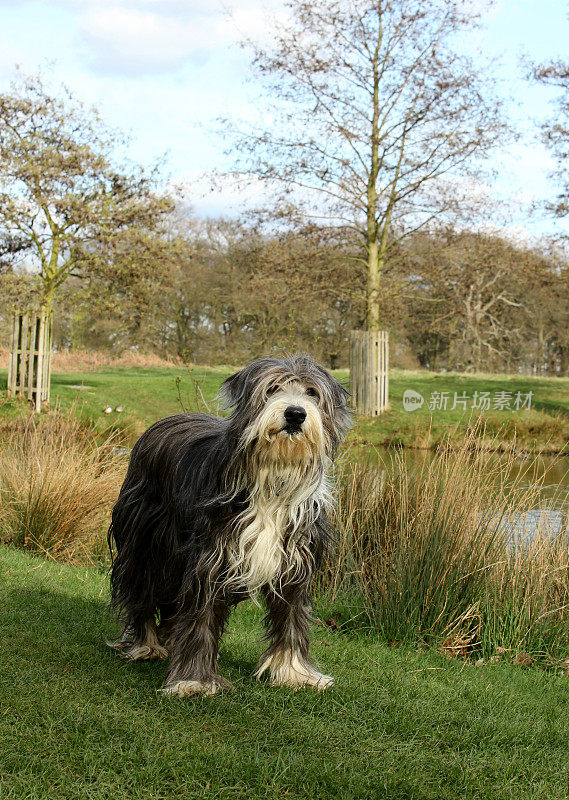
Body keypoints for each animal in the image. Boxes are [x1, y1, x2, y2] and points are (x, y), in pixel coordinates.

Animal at [106, 354, 350, 692]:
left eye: (312, 392)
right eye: (272, 388)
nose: (295, 414)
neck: (271, 482)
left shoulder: (295, 564)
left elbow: (292, 617)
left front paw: (294, 672)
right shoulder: (209, 560)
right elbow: (201, 617)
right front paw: (193, 680)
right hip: (147, 542)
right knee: (142, 590)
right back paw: (147, 644)